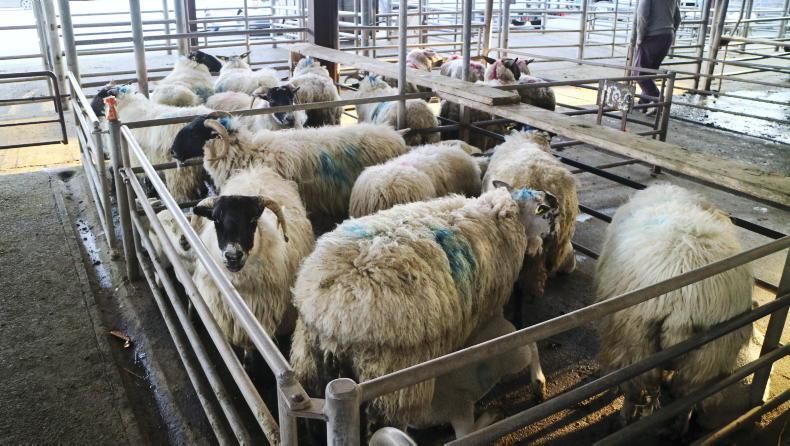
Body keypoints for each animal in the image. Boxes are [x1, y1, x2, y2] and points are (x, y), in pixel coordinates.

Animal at [289, 181, 560, 437]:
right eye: (543, 209)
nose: (555, 200)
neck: (498, 216)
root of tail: (330, 313)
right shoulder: (490, 307)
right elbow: (512, 338)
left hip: (311, 363)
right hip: (394, 378)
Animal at [595, 184, 753, 433]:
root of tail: (685, 305)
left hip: (634, 345)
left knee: (634, 391)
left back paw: (625, 418)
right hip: (710, 357)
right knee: (688, 397)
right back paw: (679, 428)